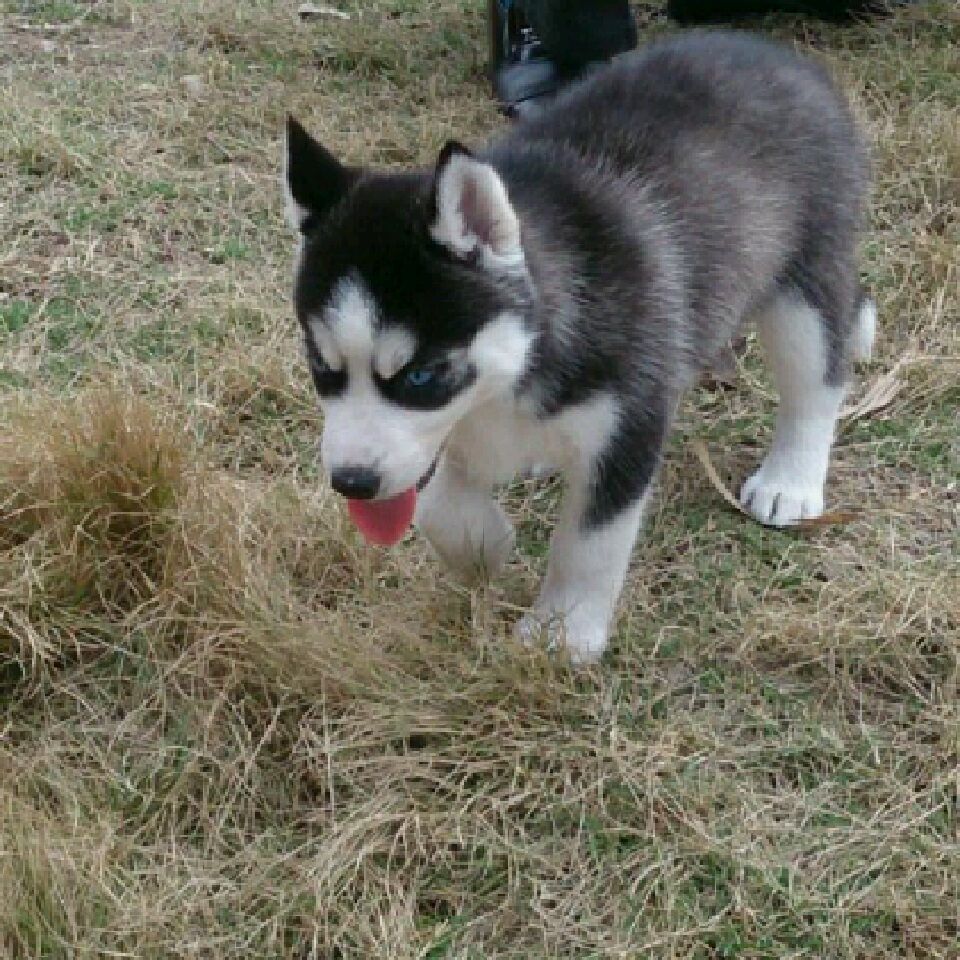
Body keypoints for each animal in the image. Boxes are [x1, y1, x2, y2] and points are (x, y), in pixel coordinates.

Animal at [283, 31, 875, 662]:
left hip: (802, 286)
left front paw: (563, 632)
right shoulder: (439, 442)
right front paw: (483, 547)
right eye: (320, 365)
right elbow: (437, 500)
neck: (507, 382)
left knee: (817, 380)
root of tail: (774, 51)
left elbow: (590, 542)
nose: (350, 483)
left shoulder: (630, 419)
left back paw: (791, 480)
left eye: (420, 375)